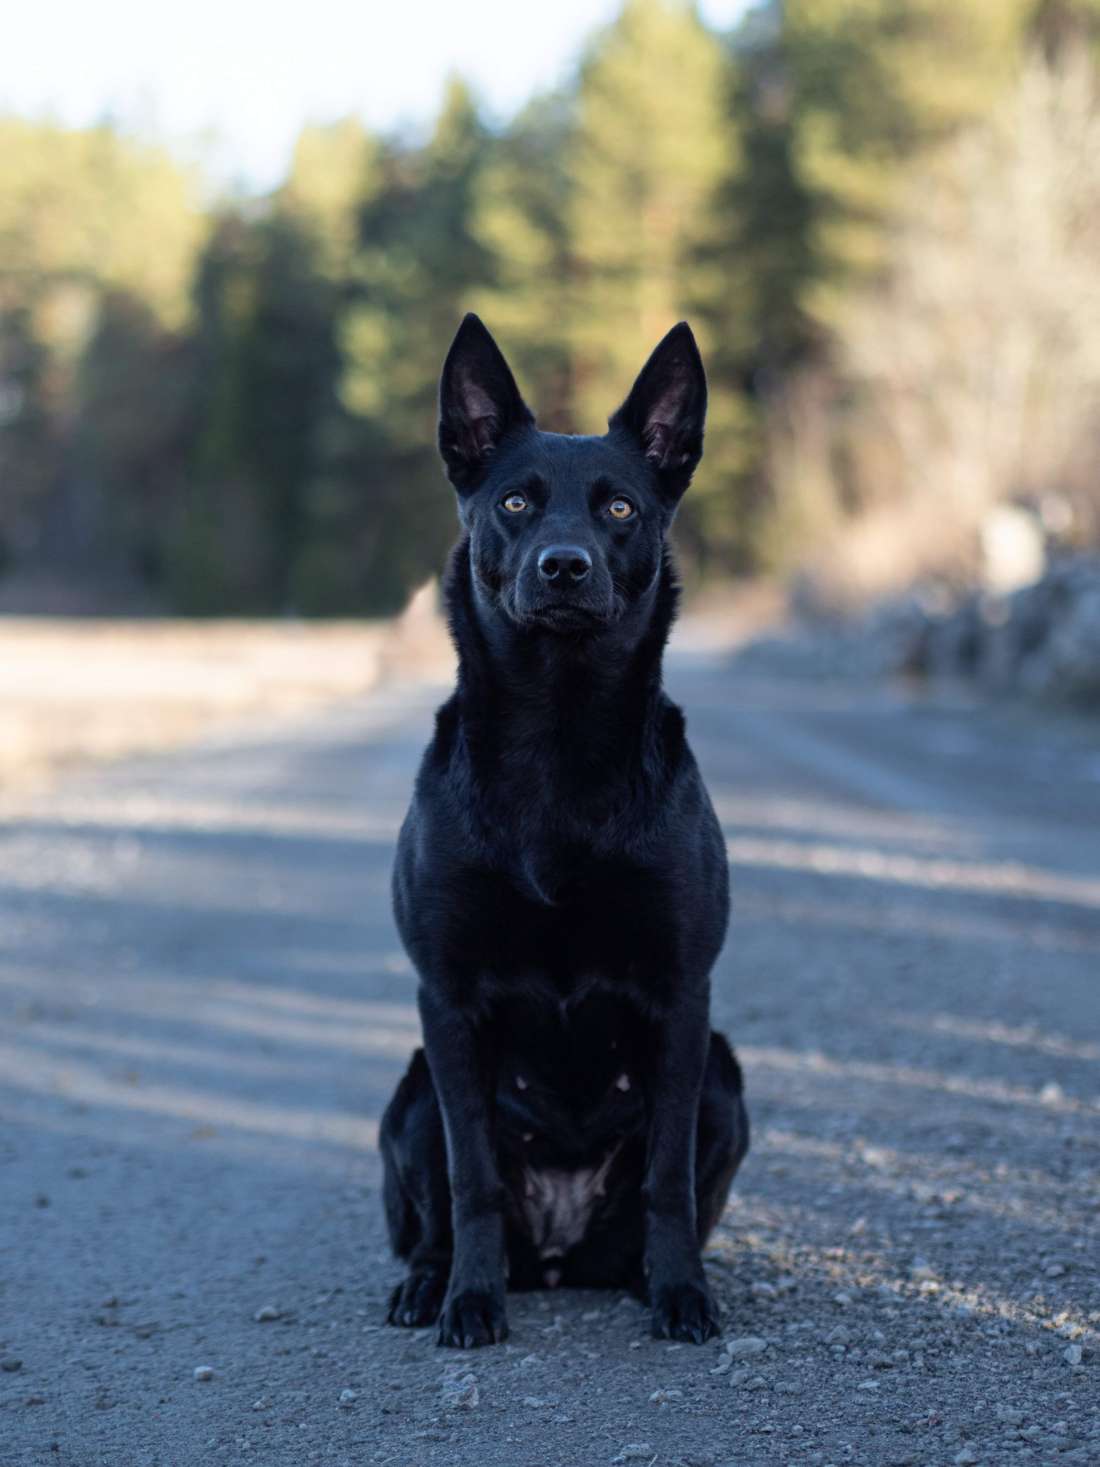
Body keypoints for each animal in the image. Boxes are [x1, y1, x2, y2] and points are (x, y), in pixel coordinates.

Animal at [378, 315, 750, 1343]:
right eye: (515, 501)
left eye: (619, 509)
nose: (564, 567)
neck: (558, 738)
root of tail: (555, 1256)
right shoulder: (446, 999)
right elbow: (470, 1176)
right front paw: (469, 1300)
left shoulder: (683, 995)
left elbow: (667, 1176)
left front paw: (682, 1293)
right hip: (411, 1089)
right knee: (445, 1204)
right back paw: (431, 1282)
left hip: (725, 1075)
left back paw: (646, 1274)